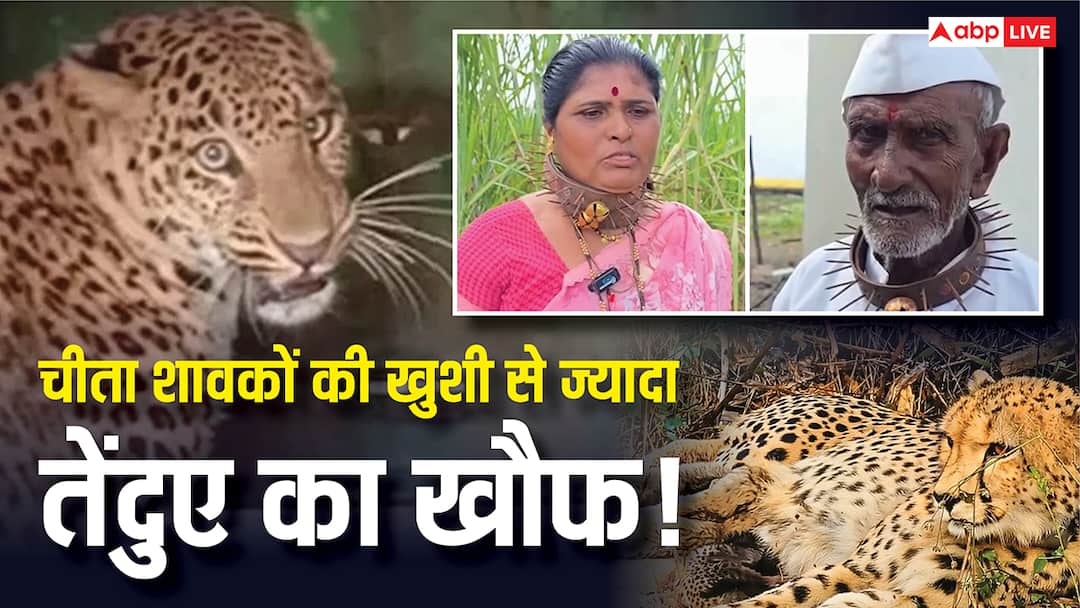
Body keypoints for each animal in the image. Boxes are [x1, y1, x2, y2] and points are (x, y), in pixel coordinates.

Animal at [642, 377, 1080, 608]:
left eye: (1001, 450)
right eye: (950, 440)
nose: (943, 497)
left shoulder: (914, 598)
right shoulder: (859, 566)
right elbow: (781, 597)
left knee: (721, 494)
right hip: (782, 457)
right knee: (727, 475)